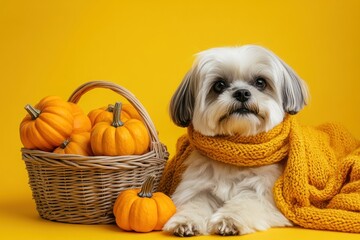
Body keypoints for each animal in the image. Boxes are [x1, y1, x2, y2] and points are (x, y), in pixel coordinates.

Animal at [163, 45, 310, 236]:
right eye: (219, 85)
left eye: (260, 82)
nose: (241, 92)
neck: (236, 152)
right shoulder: (199, 187)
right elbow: (196, 204)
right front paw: (185, 221)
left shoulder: (265, 193)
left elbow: (245, 202)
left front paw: (229, 220)